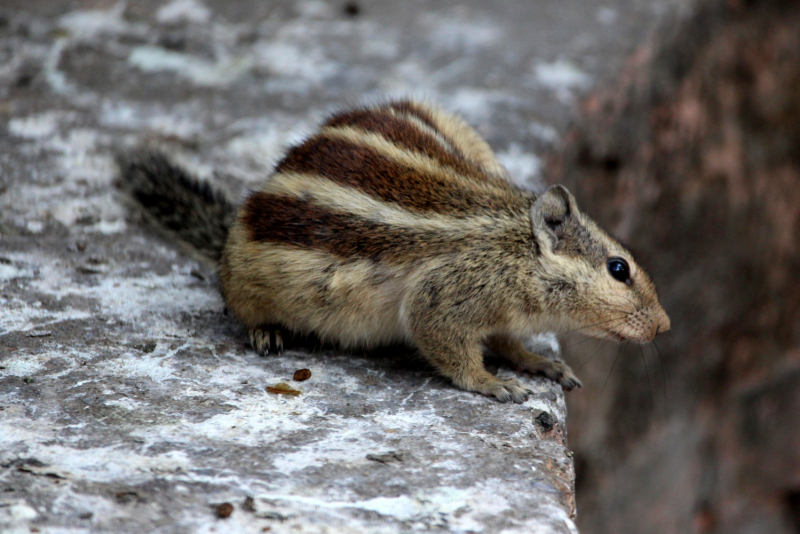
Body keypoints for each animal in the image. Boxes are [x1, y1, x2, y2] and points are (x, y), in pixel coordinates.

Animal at [117, 98, 668, 404]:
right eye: (618, 269)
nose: (664, 326)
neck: (512, 246)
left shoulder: (498, 312)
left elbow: (508, 342)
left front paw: (538, 362)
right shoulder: (443, 297)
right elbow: (446, 343)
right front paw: (492, 383)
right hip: (248, 280)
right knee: (238, 303)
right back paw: (266, 331)